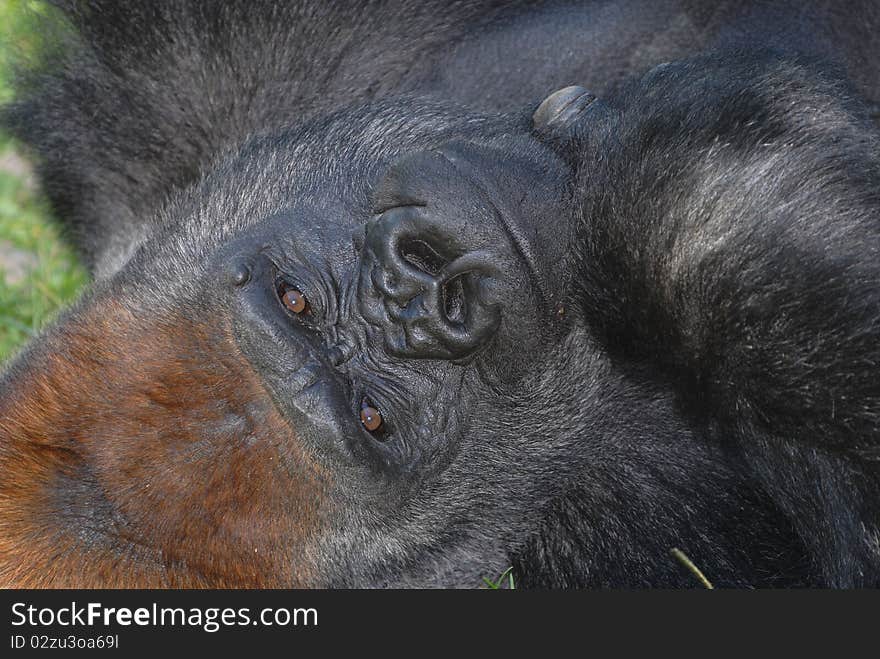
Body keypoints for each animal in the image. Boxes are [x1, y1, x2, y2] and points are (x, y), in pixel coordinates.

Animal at [0, 0, 876, 588]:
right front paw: (694, 215)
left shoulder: (184, 99)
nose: (427, 295)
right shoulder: (606, 533)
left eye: (294, 300)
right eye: (374, 418)